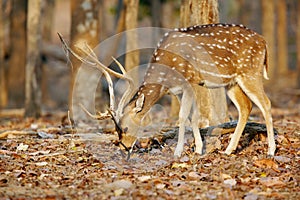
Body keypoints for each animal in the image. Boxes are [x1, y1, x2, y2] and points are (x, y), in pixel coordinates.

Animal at [58, 23, 276, 160]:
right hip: (231, 82)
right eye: (115, 130)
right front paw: (198, 149)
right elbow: (192, 117)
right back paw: (229, 150)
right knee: (245, 107)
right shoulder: (180, 89)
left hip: (250, 72)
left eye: (125, 128)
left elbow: (182, 117)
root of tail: (265, 42)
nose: (123, 148)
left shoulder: (190, 81)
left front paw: (178, 152)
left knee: (266, 103)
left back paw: (271, 151)